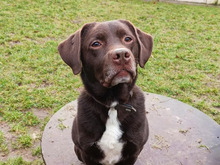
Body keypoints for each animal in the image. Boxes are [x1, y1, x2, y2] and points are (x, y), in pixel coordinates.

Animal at [57, 20, 152, 164]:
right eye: (96, 44)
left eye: (128, 39)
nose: (122, 55)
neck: (113, 104)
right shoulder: (87, 152)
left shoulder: (133, 152)